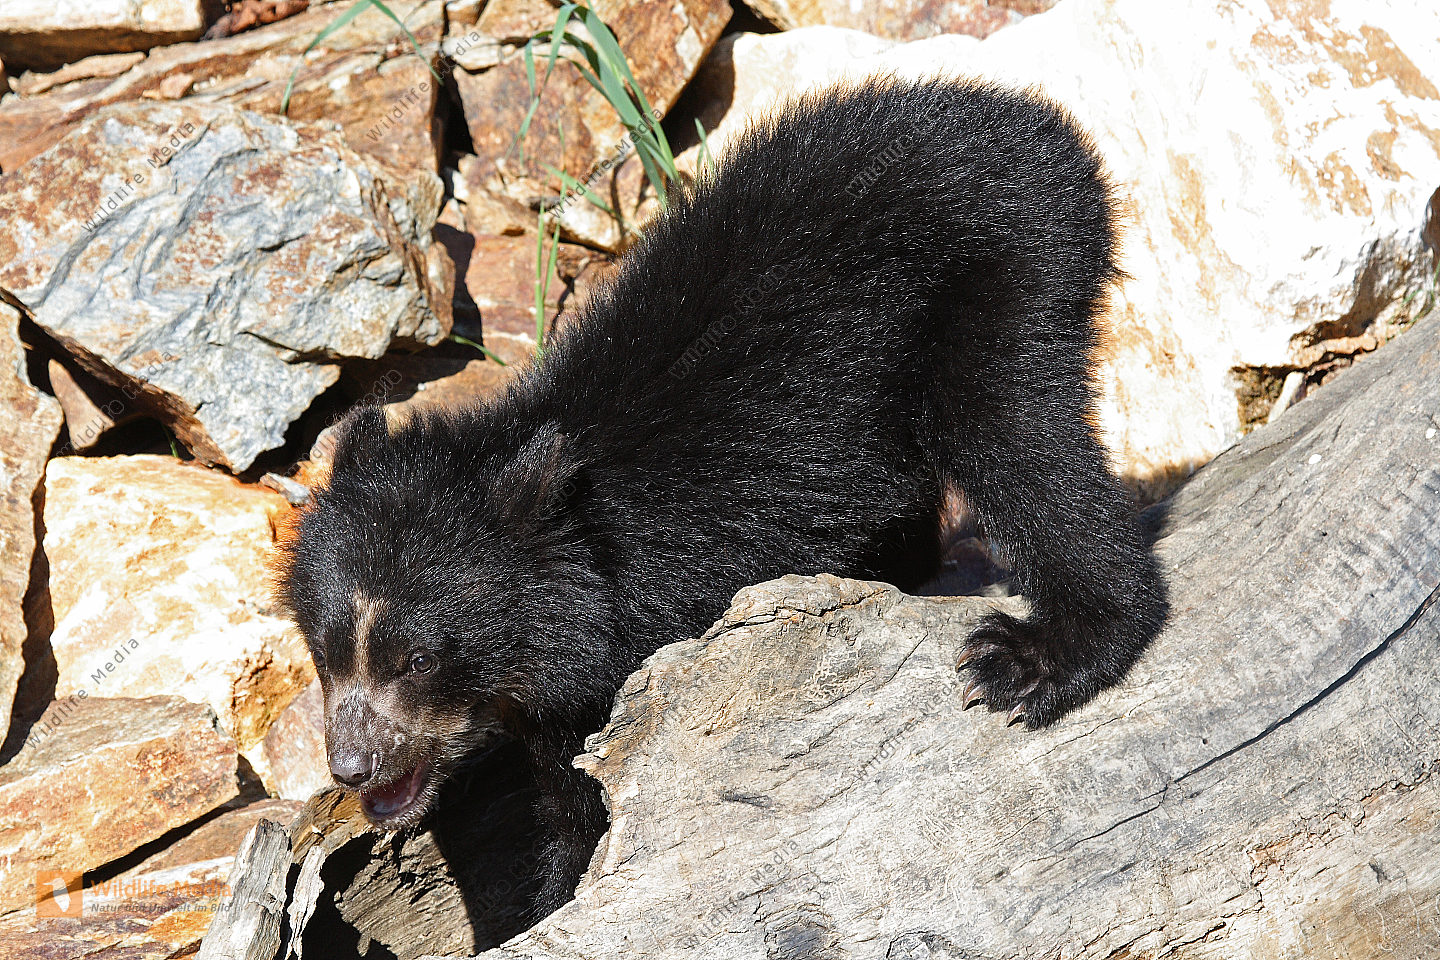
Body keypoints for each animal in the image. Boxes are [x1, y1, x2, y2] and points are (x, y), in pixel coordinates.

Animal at [277, 76, 1169, 918]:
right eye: (324, 653)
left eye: (420, 660)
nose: (353, 765)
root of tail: (1044, 128)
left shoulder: (636, 636)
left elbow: (589, 806)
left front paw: (559, 894)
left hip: (1004, 277)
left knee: (1020, 441)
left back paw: (1033, 660)